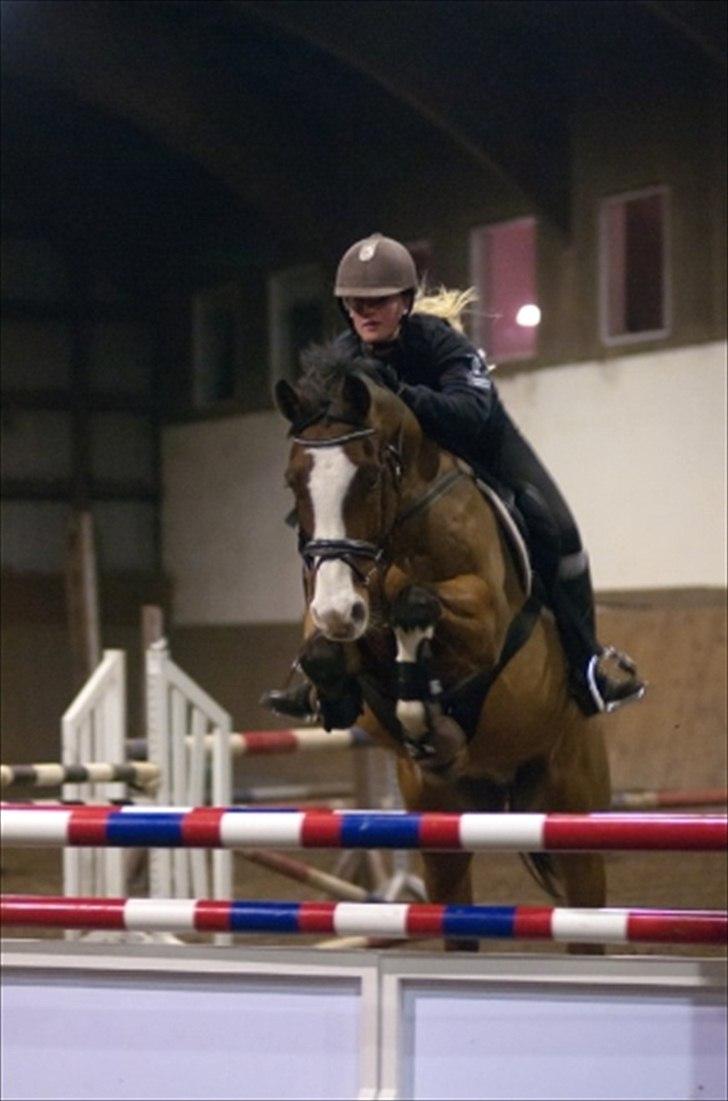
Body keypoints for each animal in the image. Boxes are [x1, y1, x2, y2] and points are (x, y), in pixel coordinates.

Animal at [275, 336, 612, 955]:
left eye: (369, 478)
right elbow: (326, 653)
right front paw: (353, 691)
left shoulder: (485, 624)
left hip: (571, 808)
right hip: (442, 824)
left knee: (586, 920)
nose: (338, 610)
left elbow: (416, 604)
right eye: (294, 483)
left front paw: (420, 705)